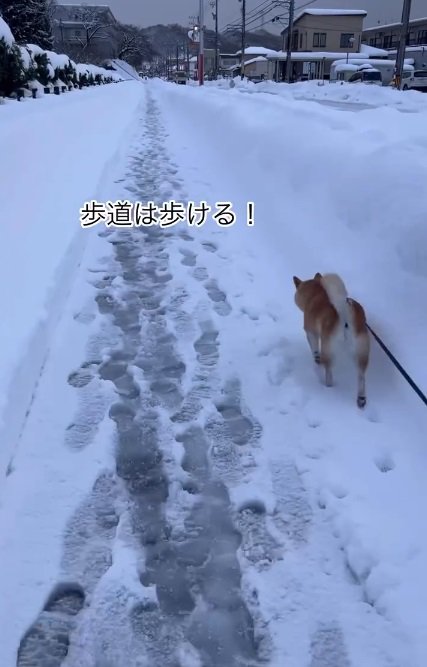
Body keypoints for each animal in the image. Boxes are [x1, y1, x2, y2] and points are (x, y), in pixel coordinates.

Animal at [294, 270, 372, 408]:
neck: (316, 294)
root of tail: (345, 315)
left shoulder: (311, 332)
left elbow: (314, 349)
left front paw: (316, 359)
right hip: (362, 352)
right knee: (361, 376)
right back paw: (361, 399)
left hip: (328, 349)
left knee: (329, 371)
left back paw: (328, 387)